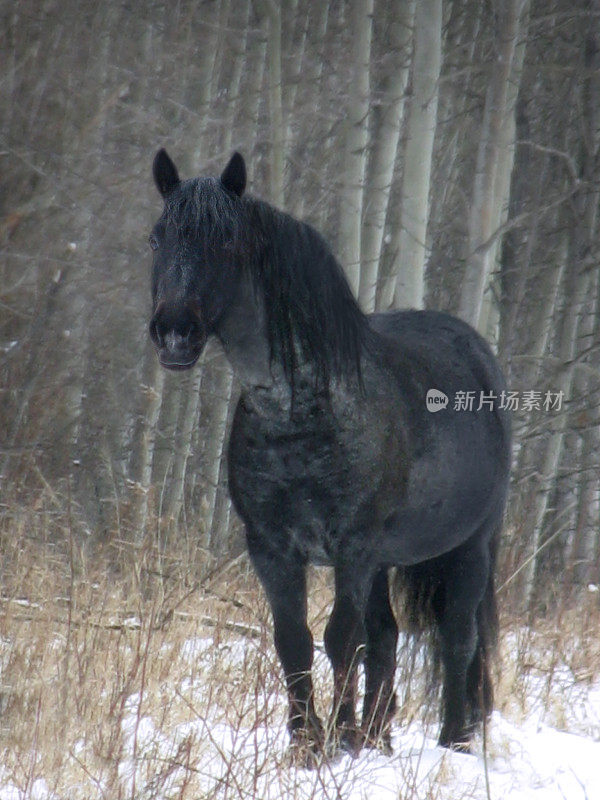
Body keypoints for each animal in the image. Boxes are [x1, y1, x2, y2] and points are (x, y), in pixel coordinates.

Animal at [149, 148, 510, 756]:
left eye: (226, 242)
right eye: (156, 237)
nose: (174, 333)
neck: (300, 412)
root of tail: (479, 356)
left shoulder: (353, 549)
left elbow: (341, 638)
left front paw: (335, 741)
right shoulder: (272, 549)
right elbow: (293, 640)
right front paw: (308, 742)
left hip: (468, 550)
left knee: (458, 640)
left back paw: (454, 740)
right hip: (388, 561)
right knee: (387, 639)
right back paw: (377, 736)